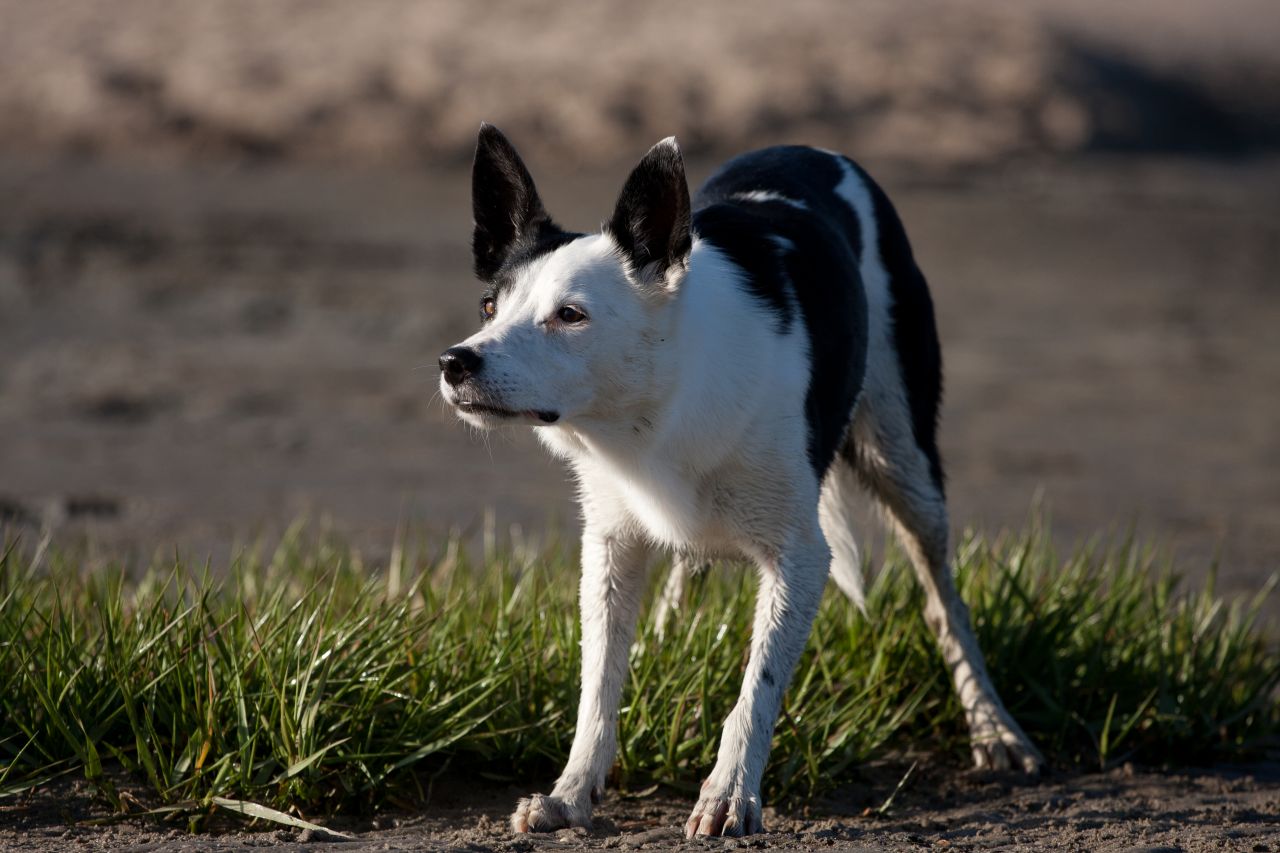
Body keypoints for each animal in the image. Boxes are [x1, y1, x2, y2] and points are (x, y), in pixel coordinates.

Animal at [440, 122, 1039, 835]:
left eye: (570, 315)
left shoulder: (801, 559)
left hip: (906, 464)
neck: (656, 410)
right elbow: (598, 686)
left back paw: (994, 728)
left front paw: (728, 795)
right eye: (488, 305)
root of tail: (816, 150)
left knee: (945, 602)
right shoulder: (610, 548)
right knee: (682, 575)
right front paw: (572, 792)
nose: (455, 362)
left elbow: (757, 688)